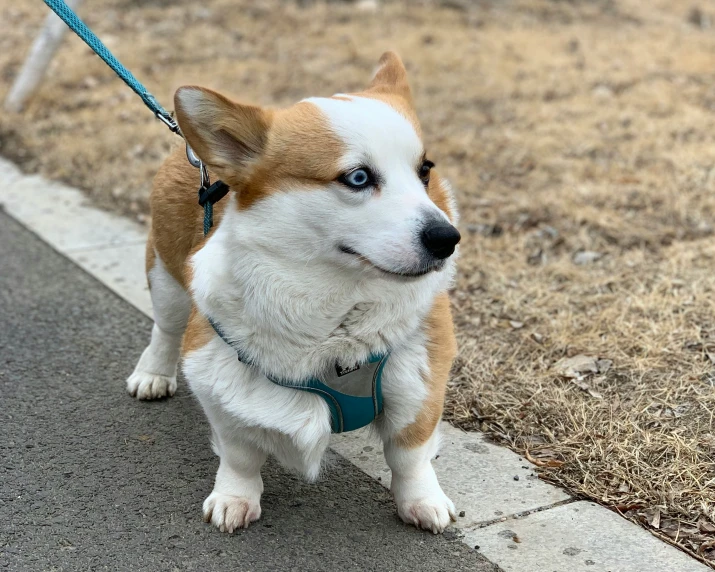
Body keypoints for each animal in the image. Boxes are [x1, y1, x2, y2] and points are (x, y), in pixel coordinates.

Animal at [127, 51, 464, 536]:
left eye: (424, 170)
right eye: (358, 177)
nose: (447, 239)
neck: (337, 308)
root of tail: (188, 148)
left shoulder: (419, 374)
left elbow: (409, 454)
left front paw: (422, 501)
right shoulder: (218, 377)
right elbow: (240, 455)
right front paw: (234, 499)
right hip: (167, 281)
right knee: (165, 330)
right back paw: (152, 374)